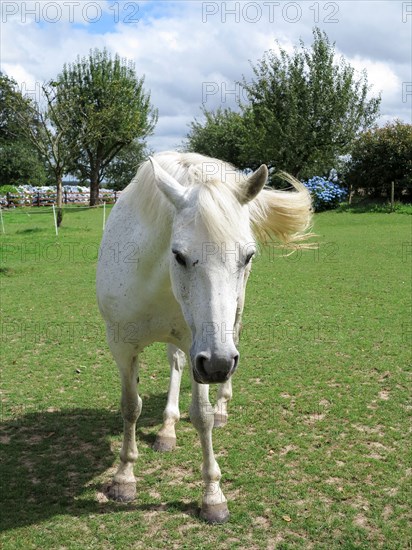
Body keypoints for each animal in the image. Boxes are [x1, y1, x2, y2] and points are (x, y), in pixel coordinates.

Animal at [95, 152, 310, 528]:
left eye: (248, 256)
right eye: (179, 255)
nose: (220, 364)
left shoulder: (204, 352)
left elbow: (202, 416)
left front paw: (213, 496)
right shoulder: (123, 346)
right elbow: (130, 407)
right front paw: (124, 478)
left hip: (229, 324)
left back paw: (222, 406)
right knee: (175, 364)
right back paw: (167, 429)